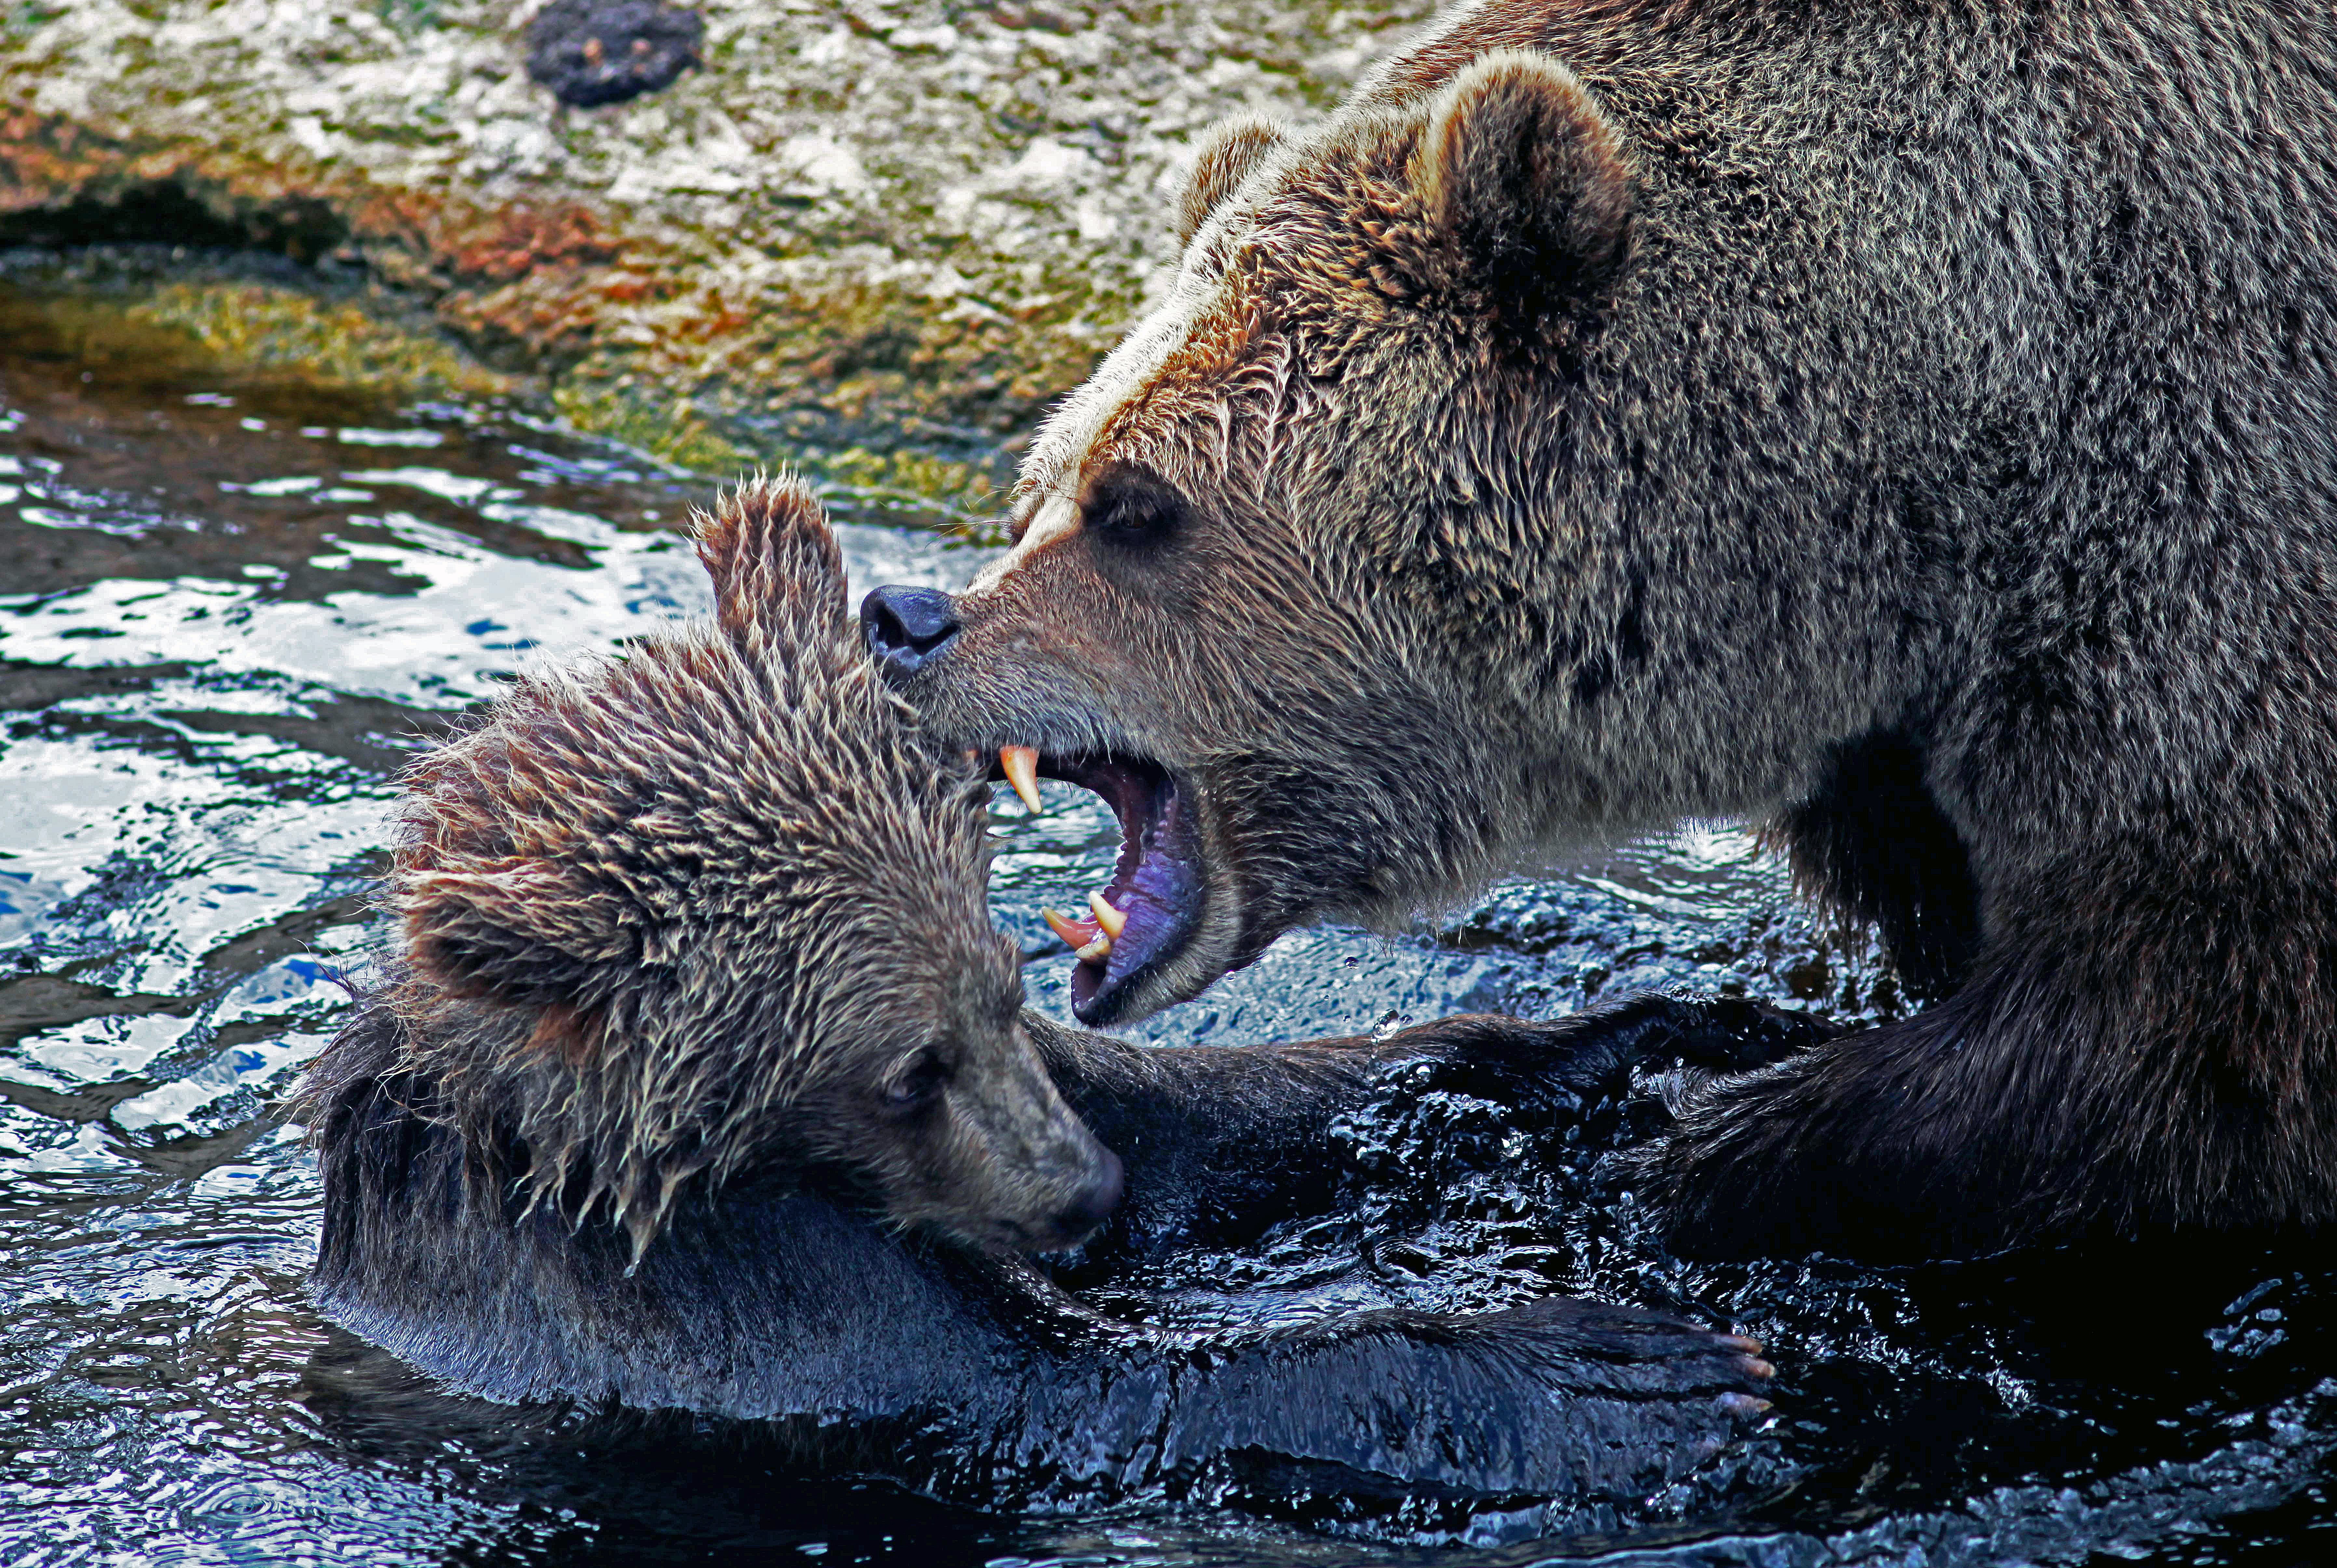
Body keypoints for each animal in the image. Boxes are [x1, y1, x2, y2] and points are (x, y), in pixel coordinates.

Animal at [294, 474, 1777, 1516]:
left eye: (1003, 990)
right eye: (901, 1068)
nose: (1080, 1192)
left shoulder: (1055, 1094)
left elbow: (1217, 1115)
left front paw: (1645, 1037)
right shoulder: (746, 1317)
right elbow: (1094, 1383)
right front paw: (1630, 1368)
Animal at [859, 0, 2337, 1264]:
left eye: (1134, 504)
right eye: (1045, 481)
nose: (905, 616)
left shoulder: (2196, 542)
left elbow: (2179, 1026)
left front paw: (1709, 1129)